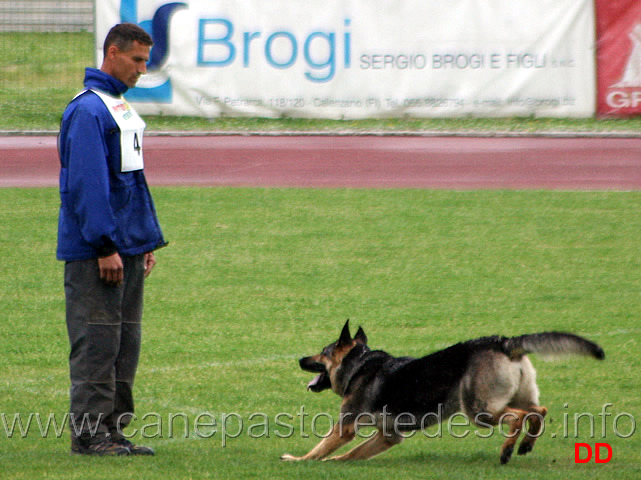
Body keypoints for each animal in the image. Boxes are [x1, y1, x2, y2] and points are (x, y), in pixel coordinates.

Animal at [278, 320, 600, 464]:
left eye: (322, 352)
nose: (299, 359)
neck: (359, 364)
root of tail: (503, 342)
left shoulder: (345, 427)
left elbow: (319, 449)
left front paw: (299, 461)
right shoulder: (388, 436)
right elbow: (351, 454)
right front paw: (335, 464)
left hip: (479, 410)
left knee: (518, 417)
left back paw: (508, 450)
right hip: (514, 398)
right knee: (538, 411)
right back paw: (526, 445)